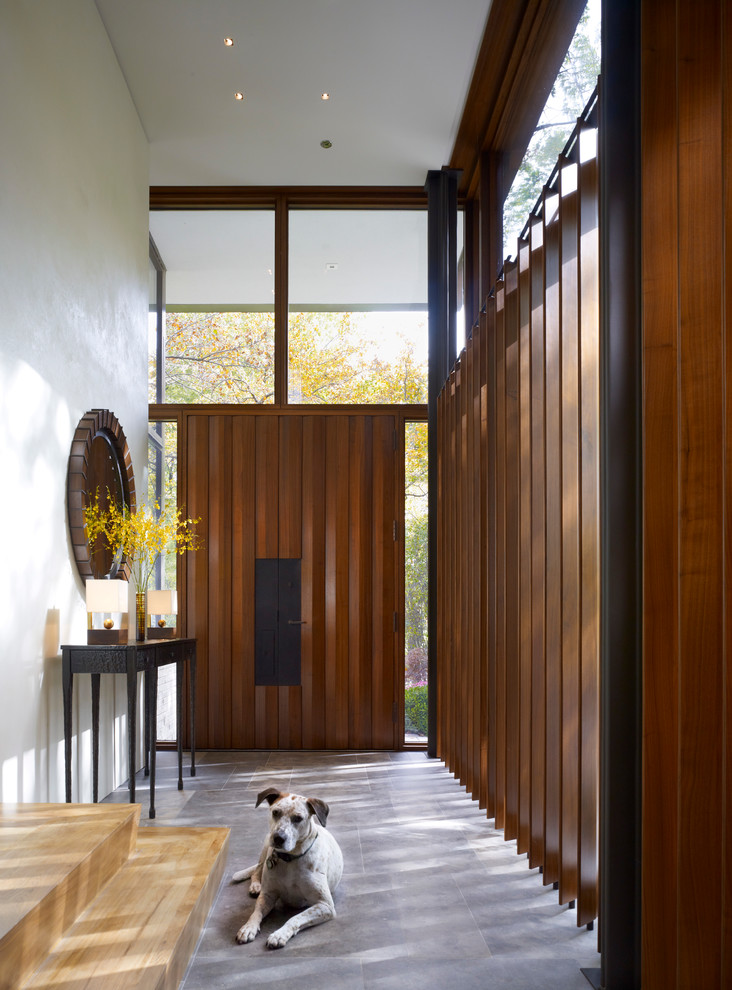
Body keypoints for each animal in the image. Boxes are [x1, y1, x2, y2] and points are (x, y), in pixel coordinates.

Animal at [233, 788, 344, 948]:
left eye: (298, 818)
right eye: (275, 812)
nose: (278, 838)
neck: (289, 859)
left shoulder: (324, 905)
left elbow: (295, 918)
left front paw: (279, 934)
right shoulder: (267, 895)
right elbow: (256, 912)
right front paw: (248, 927)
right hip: (266, 846)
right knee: (257, 870)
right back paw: (255, 886)